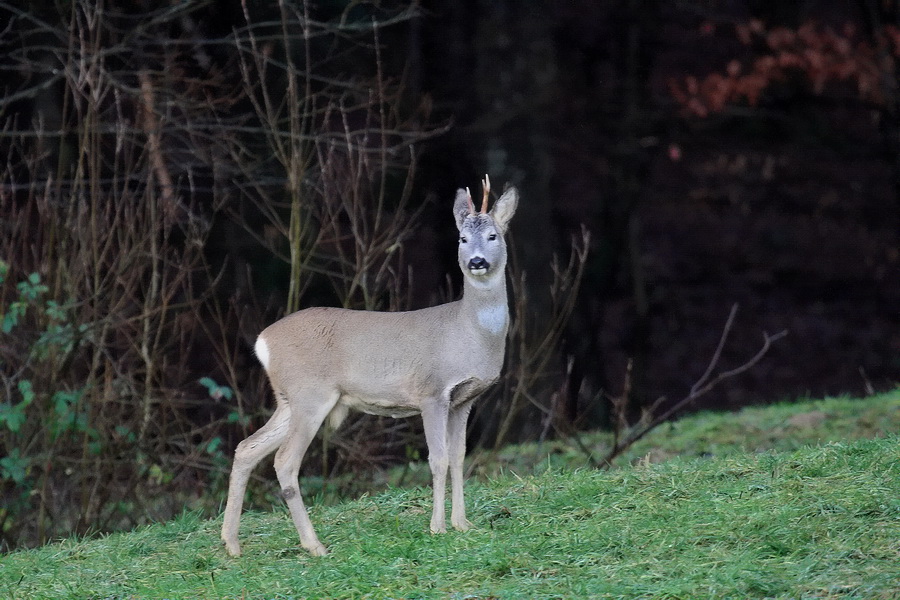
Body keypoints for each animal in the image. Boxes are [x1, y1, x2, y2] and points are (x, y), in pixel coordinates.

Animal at [221, 175, 516, 556]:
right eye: (462, 239)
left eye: (493, 236)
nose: (477, 261)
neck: (469, 333)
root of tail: (262, 341)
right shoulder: (431, 391)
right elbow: (437, 459)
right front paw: (437, 528)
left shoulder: (464, 399)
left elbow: (459, 457)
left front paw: (462, 524)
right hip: (310, 394)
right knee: (284, 461)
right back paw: (314, 545)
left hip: (288, 399)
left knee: (247, 448)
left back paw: (232, 544)